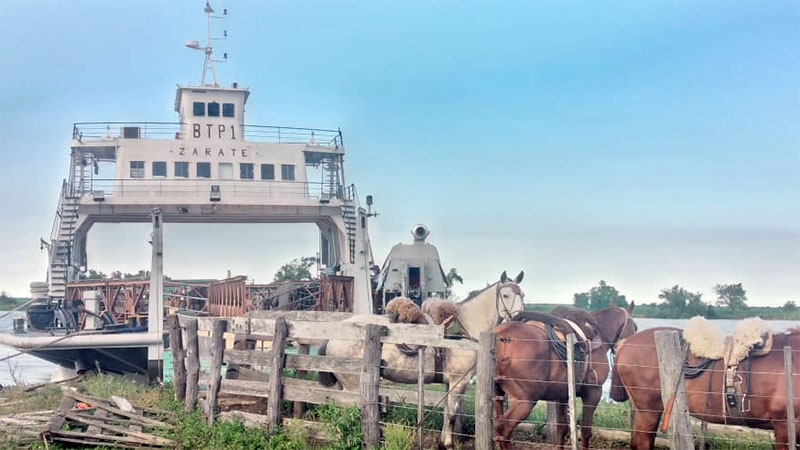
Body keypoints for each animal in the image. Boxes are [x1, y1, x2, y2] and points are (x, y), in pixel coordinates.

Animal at [494, 304, 636, 448]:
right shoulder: (593, 393)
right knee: (503, 428)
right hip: (525, 401)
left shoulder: (562, 396)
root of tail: (502, 339)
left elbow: (561, 429)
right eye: (635, 326)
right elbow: (585, 431)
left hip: (498, 395)